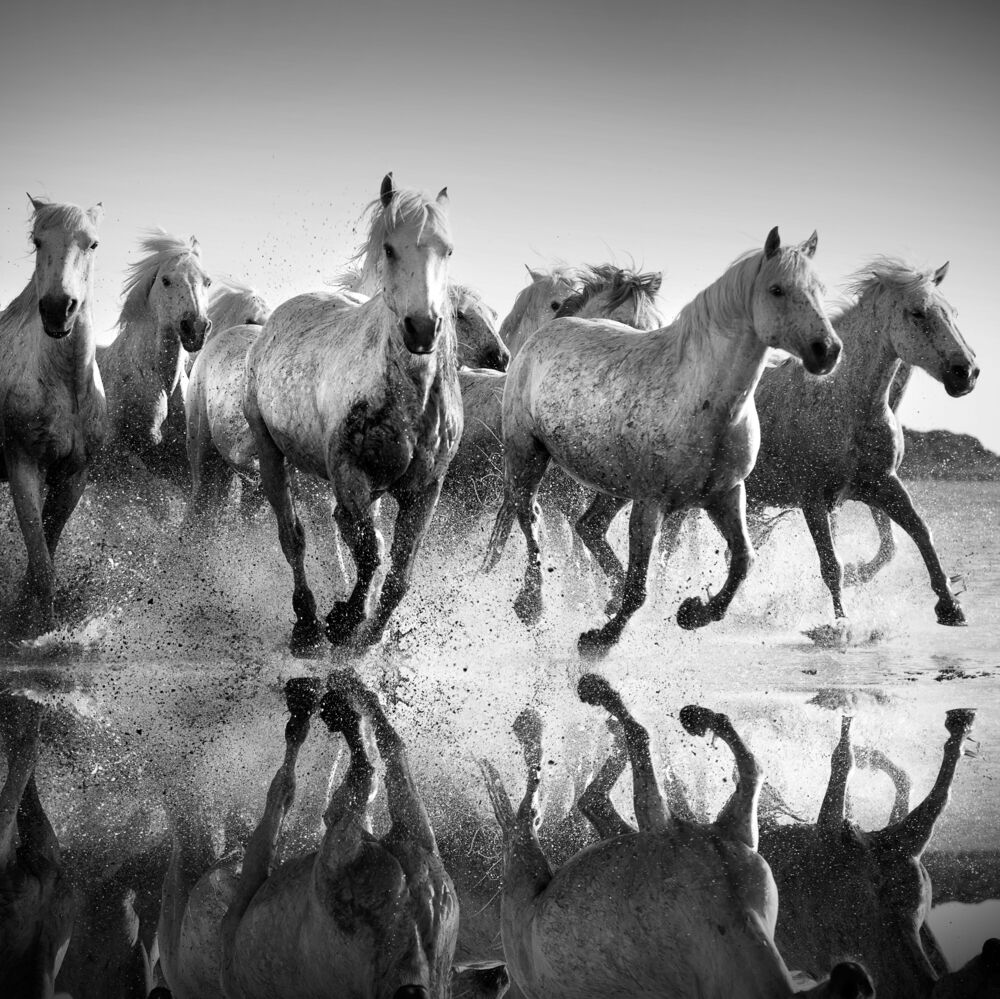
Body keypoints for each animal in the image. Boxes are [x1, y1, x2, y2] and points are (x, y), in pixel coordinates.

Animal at [157, 672, 458, 999]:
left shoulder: (238, 910)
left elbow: (282, 794)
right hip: (410, 837)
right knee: (389, 752)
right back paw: (355, 695)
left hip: (336, 854)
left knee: (351, 777)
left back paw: (329, 709)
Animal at [244, 173, 462, 653]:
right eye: (390, 248)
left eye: (448, 250)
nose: (422, 329)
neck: (410, 402)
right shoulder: (348, 472)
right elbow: (368, 553)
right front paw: (345, 622)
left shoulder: (425, 489)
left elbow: (397, 572)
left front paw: (369, 636)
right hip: (272, 453)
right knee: (294, 538)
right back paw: (307, 623)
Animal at [479, 674, 875, 999]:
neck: (732, 916)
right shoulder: (727, 832)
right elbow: (750, 767)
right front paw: (698, 717)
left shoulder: (664, 826)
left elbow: (645, 742)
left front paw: (606, 696)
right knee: (580, 802)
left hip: (523, 879)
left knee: (530, 817)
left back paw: (534, 736)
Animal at [483, 228, 841, 656]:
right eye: (776, 289)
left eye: (820, 289)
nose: (827, 350)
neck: (704, 399)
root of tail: (546, 333)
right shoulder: (650, 502)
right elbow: (639, 588)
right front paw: (599, 641)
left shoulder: (725, 494)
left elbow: (743, 560)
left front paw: (693, 612)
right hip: (528, 454)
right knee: (530, 515)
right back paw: (532, 604)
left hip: (611, 485)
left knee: (587, 525)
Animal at [741, 259, 978, 628]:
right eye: (918, 313)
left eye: (952, 312)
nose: (966, 372)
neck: (845, 403)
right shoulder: (813, 498)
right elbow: (831, 565)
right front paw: (841, 623)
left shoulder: (880, 485)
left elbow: (915, 535)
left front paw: (950, 605)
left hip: (753, 502)